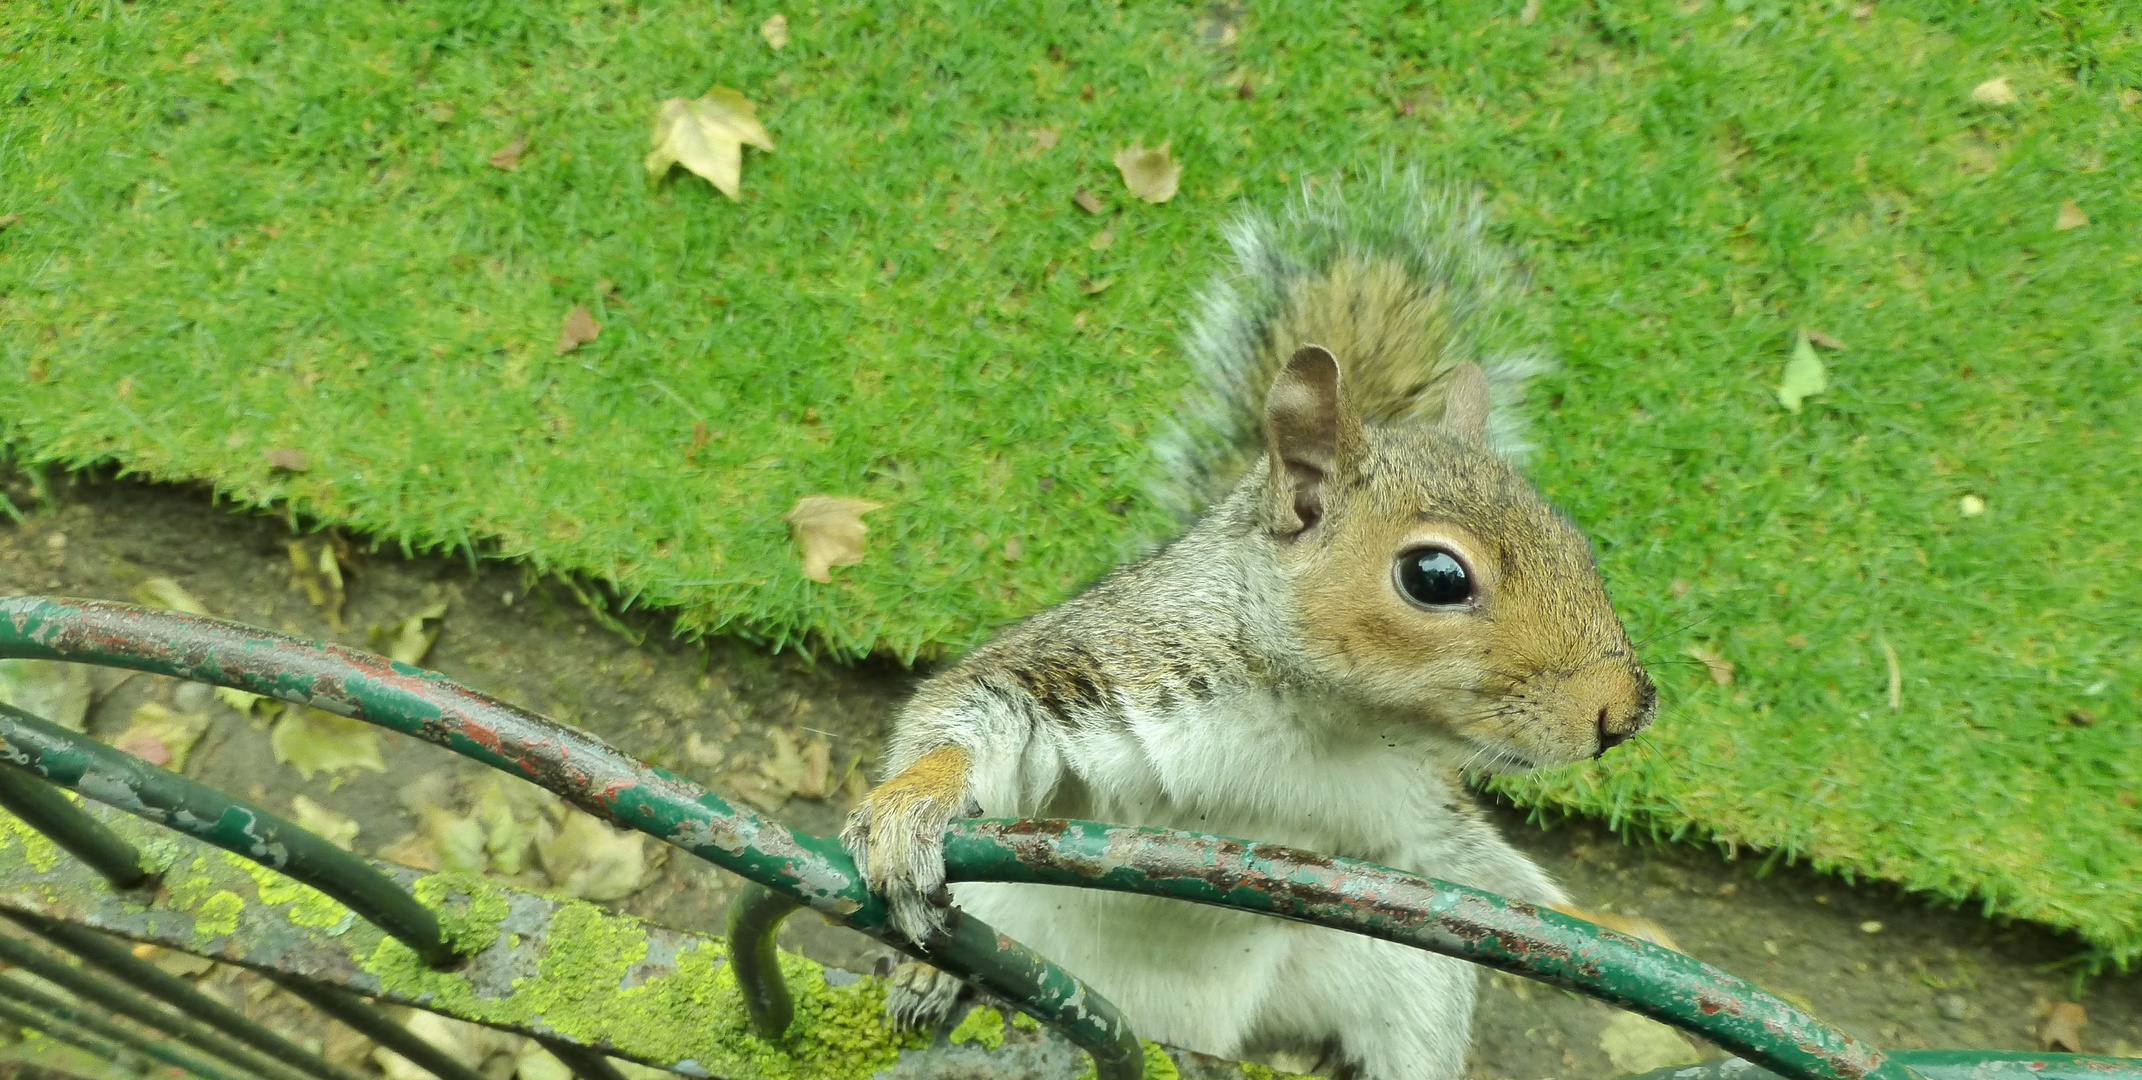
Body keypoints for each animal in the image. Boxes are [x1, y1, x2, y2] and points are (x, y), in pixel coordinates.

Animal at [839, 174, 1653, 1080]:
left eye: (1576, 541)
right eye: (1434, 576)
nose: (1628, 709)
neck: (1318, 727)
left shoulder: (1420, 833)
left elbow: (1504, 884)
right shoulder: (1109, 670)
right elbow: (976, 714)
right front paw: (914, 804)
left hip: (1400, 979)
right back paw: (928, 977)